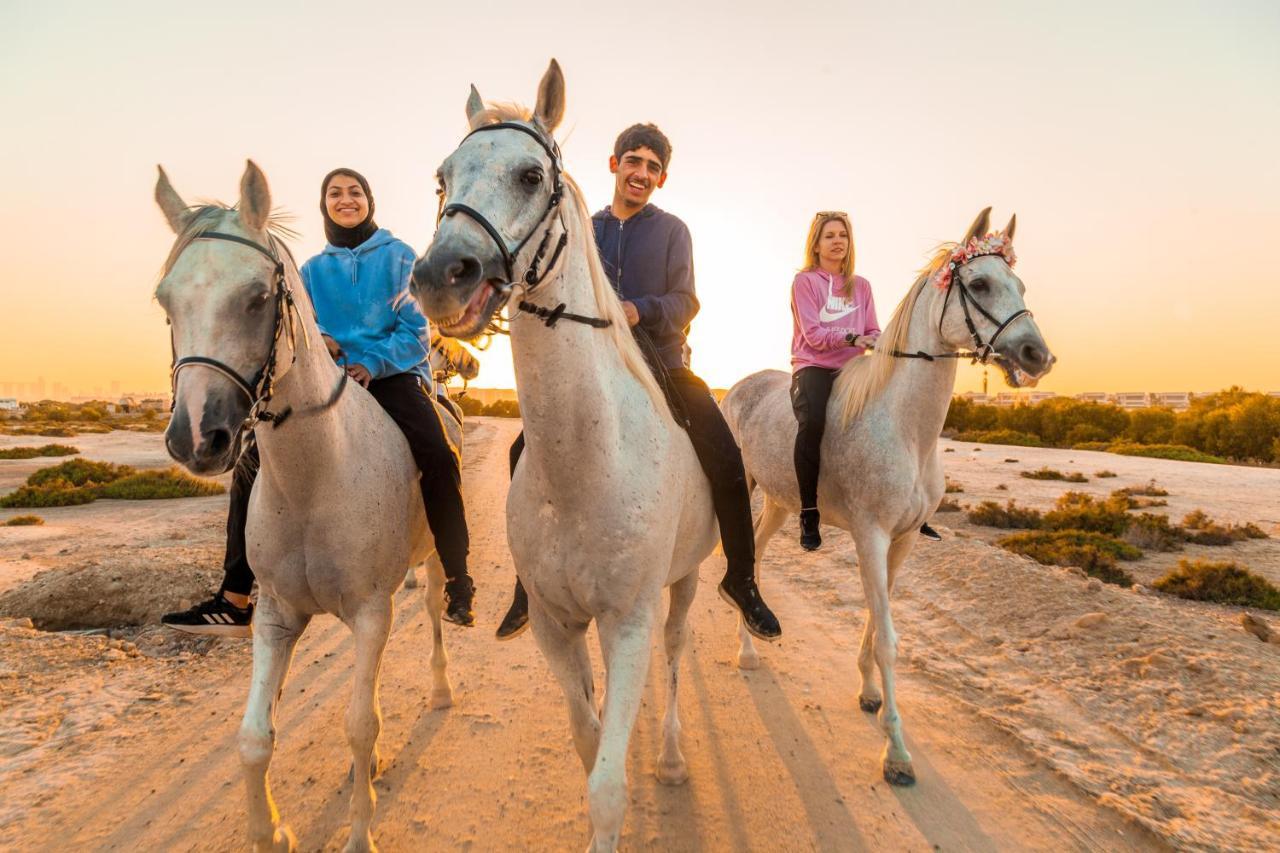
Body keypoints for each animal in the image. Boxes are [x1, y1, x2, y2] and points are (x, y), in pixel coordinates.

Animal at [155, 161, 458, 850]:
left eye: (256, 297)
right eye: (165, 299)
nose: (196, 438)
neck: (316, 478)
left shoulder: (372, 611)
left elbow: (358, 726)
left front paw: (359, 834)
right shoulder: (276, 616)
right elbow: (253, 739)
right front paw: (270, 832)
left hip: (428, 567)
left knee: (431, 616)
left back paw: (440, 689)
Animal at [412, 59, 721, 845]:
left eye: (529, 175)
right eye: (443, 178)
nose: (438, 276)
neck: (586, 468)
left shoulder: (629, 621)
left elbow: (607, 785)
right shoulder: (557, 626)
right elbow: (589, 741)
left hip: (683, 584)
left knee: (676, 652)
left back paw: (671, 757)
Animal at [721, 206, 1049, 783]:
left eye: (1021, 284)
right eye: (980, 284)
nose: (1038, 355)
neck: (905, 430)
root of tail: (739, 385)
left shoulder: (902, 541)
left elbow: (879, 620)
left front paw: (870, 693)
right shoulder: (870, 537)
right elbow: (891, 641)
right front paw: (896, 752)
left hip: (781, 503)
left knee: (755, 555)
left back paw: (751, 643)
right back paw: (744, 652)